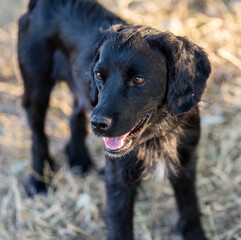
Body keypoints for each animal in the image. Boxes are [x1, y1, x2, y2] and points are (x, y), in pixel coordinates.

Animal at [18, 0, 211, 240]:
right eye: (99, 75)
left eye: (138, 79)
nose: (99, 125)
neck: (159, 131)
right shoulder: (118, 180)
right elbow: (120, 227)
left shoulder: (186, 162)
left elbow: (190, 211)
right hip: (37, 87)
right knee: (38, 134)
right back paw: (39, 181)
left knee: (75, 114)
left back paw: (79, 158)